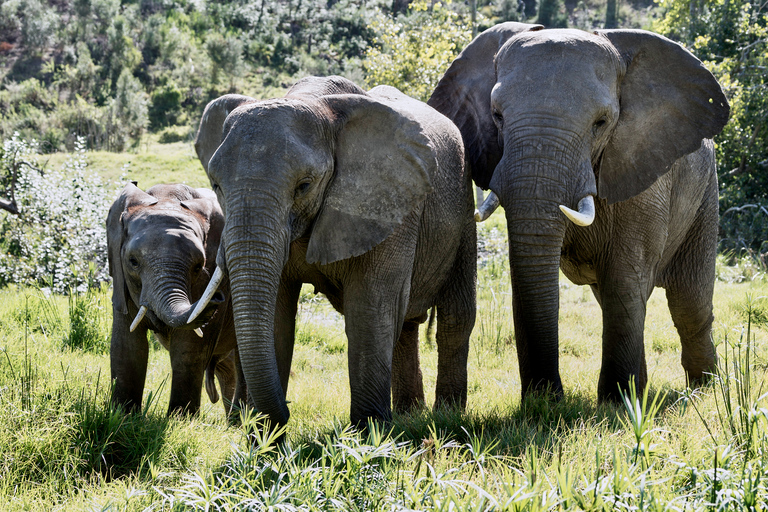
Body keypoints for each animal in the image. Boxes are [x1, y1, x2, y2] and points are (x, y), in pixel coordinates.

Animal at [108, 183, 243, 416]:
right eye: (133, 262)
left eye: (198, 267)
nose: (218, 296)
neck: (168, 196)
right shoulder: (121, 282)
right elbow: (127, 345)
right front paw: (122, 415)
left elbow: (189, 348)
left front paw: (180, 419)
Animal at [189, 76, 476, 428]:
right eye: (216, 186)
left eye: (304, 185)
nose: (288, 411)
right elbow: (277, 316)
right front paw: (266, 438)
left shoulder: (390, 202)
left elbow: (370, 307)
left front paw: (369, 433)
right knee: (406, 324)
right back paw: (410, 415)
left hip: (463, 205)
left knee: (454, 315)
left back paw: (447, 414)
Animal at [428, 23, 728, 400]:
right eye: (497, 115)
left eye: (601, 122)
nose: (551, 393)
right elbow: (527, 274)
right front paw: (543, 403)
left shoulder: (642, 172)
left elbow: (624, 279)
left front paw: (614, 403)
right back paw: (643, 391)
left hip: (704, 194)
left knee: (689, 301)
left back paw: (705, 390)